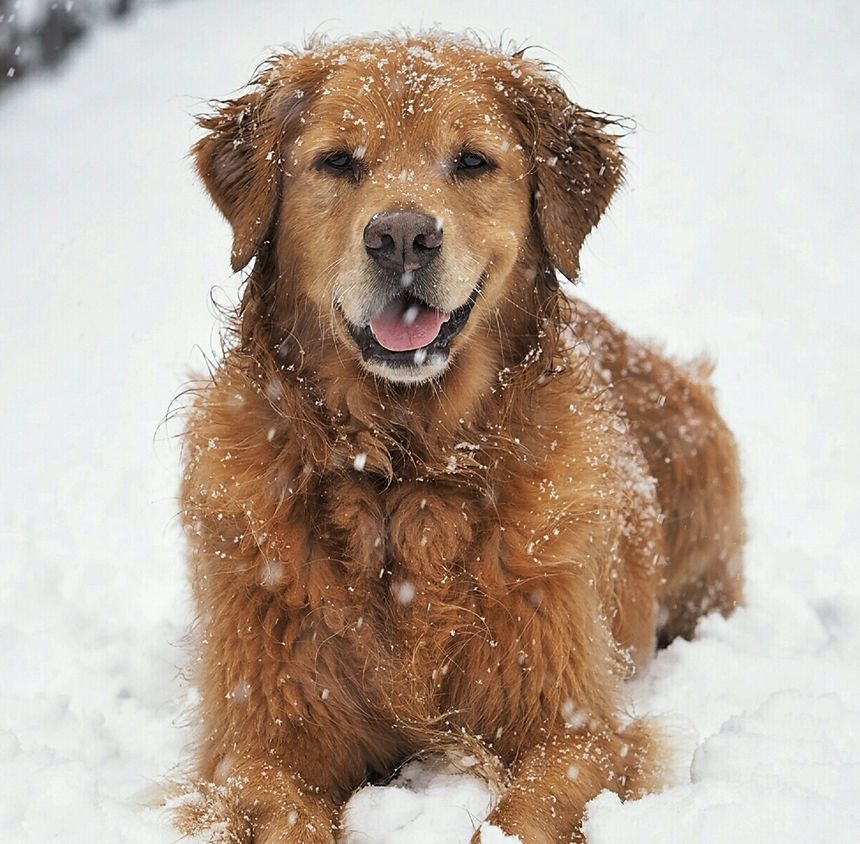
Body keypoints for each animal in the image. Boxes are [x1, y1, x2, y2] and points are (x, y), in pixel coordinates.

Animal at [176, 31, 744, 844]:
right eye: (338, 161)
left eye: (472, 161)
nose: (402, 237)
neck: (405, 467)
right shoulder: (260, 738)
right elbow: (278, 803)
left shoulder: (572, 726)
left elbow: (525, 813)